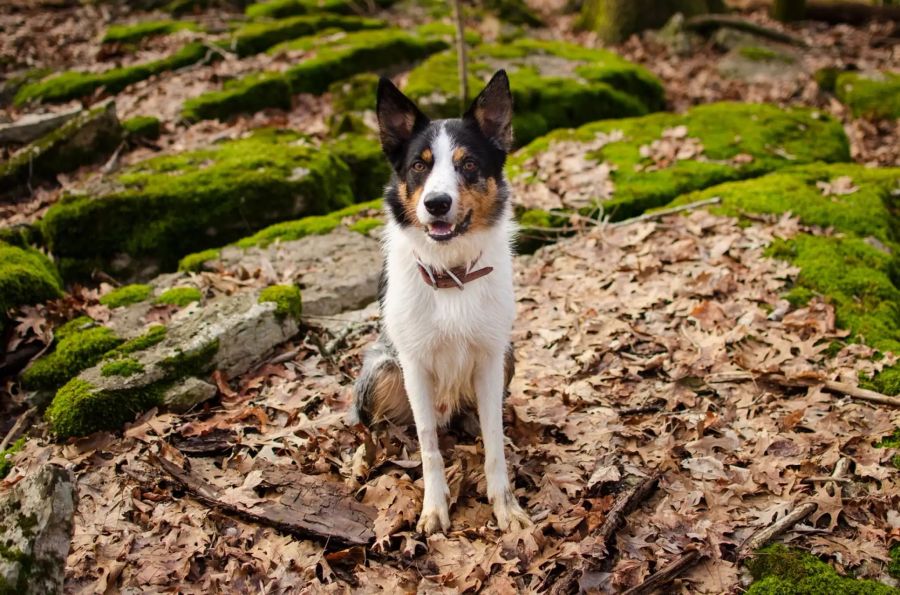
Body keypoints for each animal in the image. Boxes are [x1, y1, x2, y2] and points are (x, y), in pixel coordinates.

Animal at [352, 70, 532, 536]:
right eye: (420, 165)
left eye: (468, 164)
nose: (436, 203)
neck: (450, 274)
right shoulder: (413, 365)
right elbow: (429, 446)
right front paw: (434, 506)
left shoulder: (490, 357)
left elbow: (494, 444)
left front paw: (505, 504)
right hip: (380, 370)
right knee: (380, 427)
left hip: (508, 355)